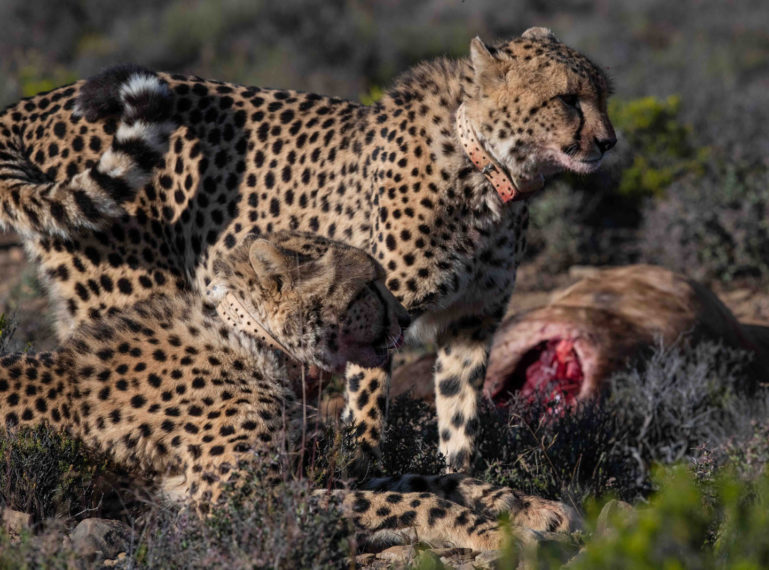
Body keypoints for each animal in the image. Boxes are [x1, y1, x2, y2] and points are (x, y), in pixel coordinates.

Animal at [0, 26, 616, 468]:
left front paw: (460, 476)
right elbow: (368, 412)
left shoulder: (471, 322)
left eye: (604, 96)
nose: (609, 142)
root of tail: (35, 101)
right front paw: (365, 469)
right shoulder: (376, 317)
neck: (489, 172)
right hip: (124, 285)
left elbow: (459, 417)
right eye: (568, 99)